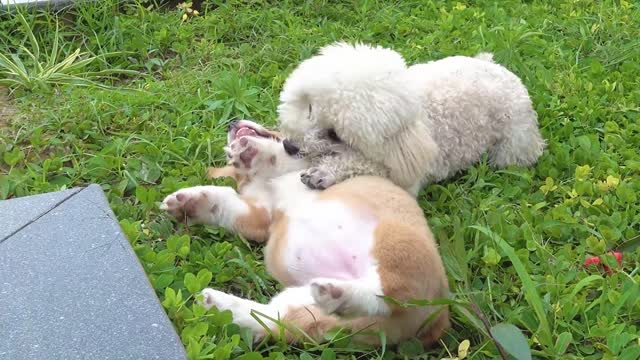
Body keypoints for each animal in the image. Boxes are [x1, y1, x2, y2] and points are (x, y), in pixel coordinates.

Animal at [160, 120, 450, 346]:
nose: (231, 124)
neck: (272, 180)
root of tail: (439, 318)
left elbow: (276, 154)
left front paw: (248, 151)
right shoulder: (259, 215)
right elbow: (225, 200)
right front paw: (191, 203)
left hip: (395, 243)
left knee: (393, 294)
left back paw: (339, 294)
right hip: (308, 308)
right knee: (274, 321)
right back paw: (218, 303)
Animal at [278, 43, 544, 194]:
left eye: (335, 135)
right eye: (310, 108)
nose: (289, 146)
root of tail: (504, 71)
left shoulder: (407, 174)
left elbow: (366, 166)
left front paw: (325, 172)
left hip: (512, 147)